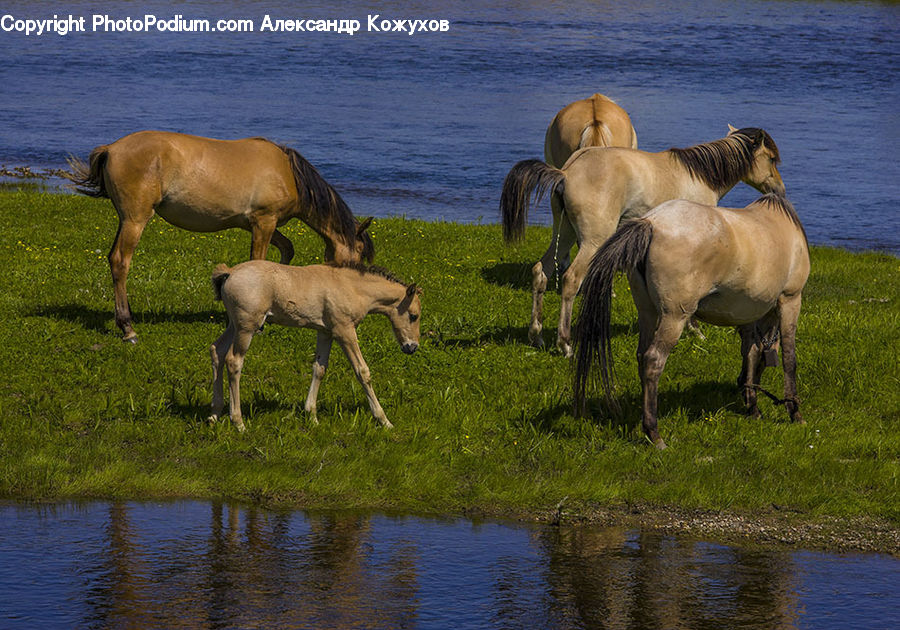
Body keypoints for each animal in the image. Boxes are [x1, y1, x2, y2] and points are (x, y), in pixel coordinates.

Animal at [68, 131, 375, 342]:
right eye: (360, 255)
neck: (288, 173)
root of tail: (111, 149)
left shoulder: (257, 224)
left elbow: (286, 250)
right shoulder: (263, 221)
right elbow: (259, 259)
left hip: (126, 220)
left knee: (113, 259)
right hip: (135, 219)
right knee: (121, 261)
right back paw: (128, 328)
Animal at [208, 260, 422, 432]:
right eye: (414, 316)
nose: (412, 347)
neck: (351, 287)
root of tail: (229, 272)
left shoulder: (326, 332)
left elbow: (319, 369)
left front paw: (312, 416)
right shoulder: (344, 331)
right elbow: (362, 371)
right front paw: (384, 420)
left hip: (234, 325)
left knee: (217, 350)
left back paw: (214, 414)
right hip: (247, 327)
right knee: (233, 361)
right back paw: (238, 422)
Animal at [500, 125, 784, 357]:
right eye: (771, 158)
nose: (779, 190)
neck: (700, 176)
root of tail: (566, 173)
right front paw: (695, 330)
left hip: (564, 235)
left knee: (541, 272)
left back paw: (536, 336)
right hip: (592, 241)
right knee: (571, 280)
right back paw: (565, 344)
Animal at [573, 194, 810, 449]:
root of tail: (651, 223)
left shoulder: (749, 312)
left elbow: (752, 353)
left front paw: (752, 406)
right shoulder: (790, 299)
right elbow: (788, 358)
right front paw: (794, 412)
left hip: (647, 312)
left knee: (642, 355)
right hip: (674, 317)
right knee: (653, 359)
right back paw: (654, 432)